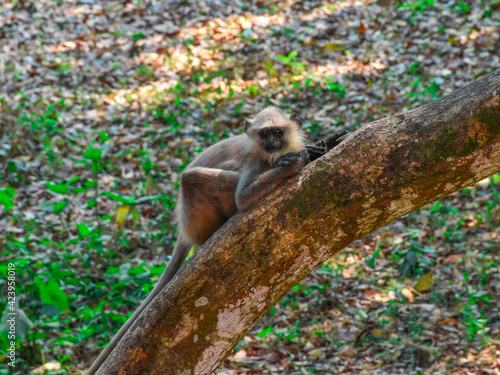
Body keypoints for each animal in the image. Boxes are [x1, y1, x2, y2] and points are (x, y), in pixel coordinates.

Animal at [87, 107, 348, 374]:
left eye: (277, 132)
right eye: (265, 134)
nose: (272, 143)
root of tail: (184, 228)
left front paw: (322, 146)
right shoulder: (255, 160)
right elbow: (244, 197)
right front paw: (294, 162)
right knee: (192, 178)